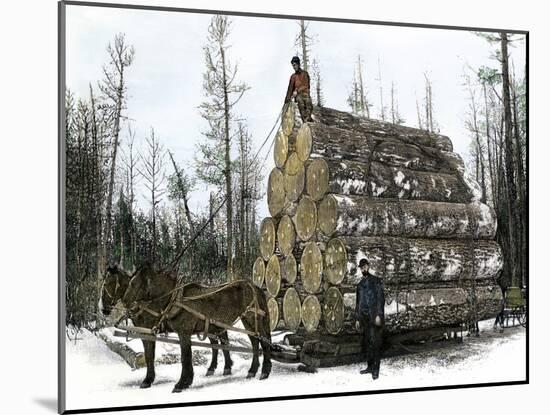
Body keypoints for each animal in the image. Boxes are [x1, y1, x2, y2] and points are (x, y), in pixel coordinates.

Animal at [100, 266, 236, 390]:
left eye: (107, 284)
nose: (103, 309)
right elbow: (150, 355)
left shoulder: (147, 333)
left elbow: (149, 355)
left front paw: (147, 380)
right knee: (217, 343)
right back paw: (219, 368)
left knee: (219, 342)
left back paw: (225, 367)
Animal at [121, 264, 274, 394]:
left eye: (133, 284)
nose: (124, 302)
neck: (175, 300)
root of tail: (255, 286)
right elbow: (154, 356)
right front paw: (185, 381)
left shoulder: (184, 332)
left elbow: (185, 357)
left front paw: (181, 384)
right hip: (247, 320)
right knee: (254, 342)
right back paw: (252, 370)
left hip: (251, 318)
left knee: (263, 341)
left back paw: (265, 372)